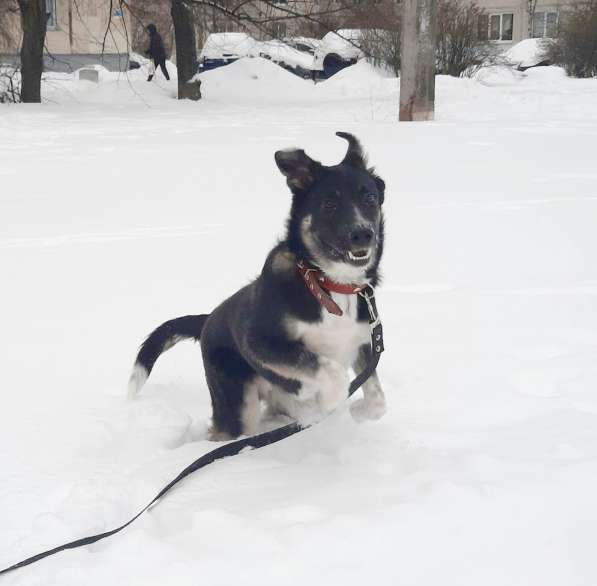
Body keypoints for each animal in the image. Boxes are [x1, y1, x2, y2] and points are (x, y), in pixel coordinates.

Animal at [127, 130, 386, 436]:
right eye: (329, 204)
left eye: (370, 197)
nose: (362, 234)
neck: (327, 286)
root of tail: (208, 319)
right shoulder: (260, 342)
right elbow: (328, 370)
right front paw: (329, 400)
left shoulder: (362, 343)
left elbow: (378, 400)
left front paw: (358, 410)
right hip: (238, 405)